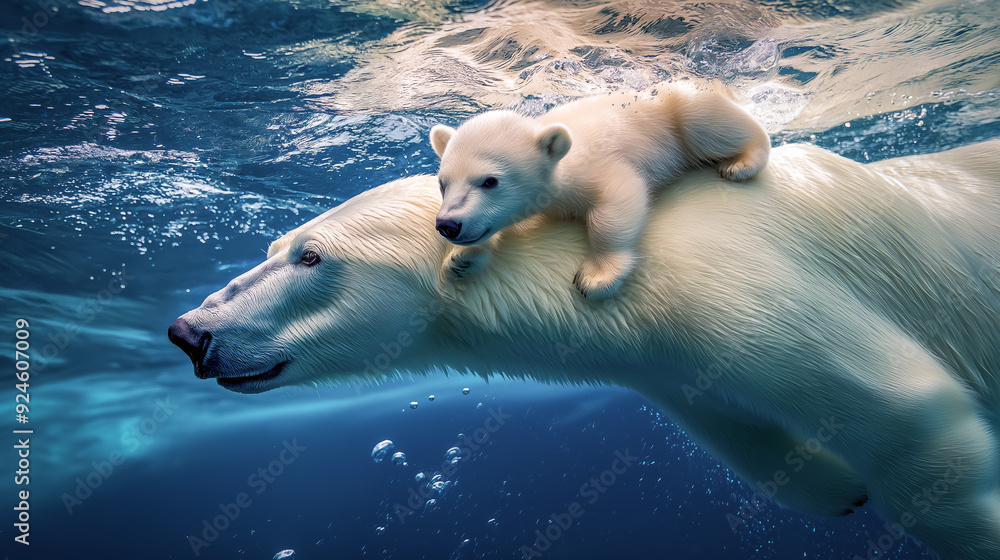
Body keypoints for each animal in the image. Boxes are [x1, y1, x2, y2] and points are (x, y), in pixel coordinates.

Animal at [170, 140, 1000, 560]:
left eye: (311, 257)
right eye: (273, 247)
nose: (189, 332)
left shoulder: (727, 283)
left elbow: (905, 404)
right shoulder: (670, 360)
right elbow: (741, 427)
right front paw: (836, 488)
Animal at [429, 82, 770, 298]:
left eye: (490, 181)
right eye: (443, 183)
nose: (448, 225)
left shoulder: (595, 167)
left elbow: (620, 197)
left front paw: (597, 276)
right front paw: (461, 258)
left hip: (675, 107)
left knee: (707, 122)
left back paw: (743, 161)